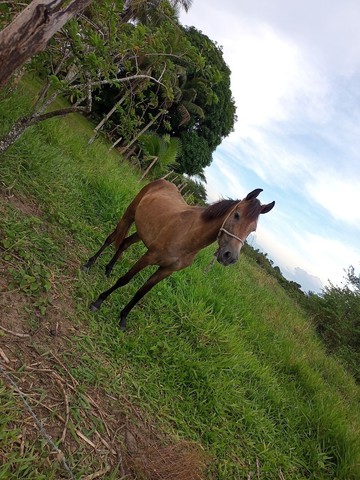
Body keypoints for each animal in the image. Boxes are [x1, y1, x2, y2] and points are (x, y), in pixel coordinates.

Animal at [83, 179, 274, 330]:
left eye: (252, 229)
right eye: (236, 215)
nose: (230, 257)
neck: (188, 235)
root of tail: (161, 181)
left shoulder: (166, 270)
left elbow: (141, 292)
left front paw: (123, 318)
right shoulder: (149, 257)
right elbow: (125, 280)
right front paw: (98, 302)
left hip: (142, 230)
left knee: (124, 243)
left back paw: (108, 269)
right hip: (129, 214)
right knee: (111, 238)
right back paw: (89, 264)